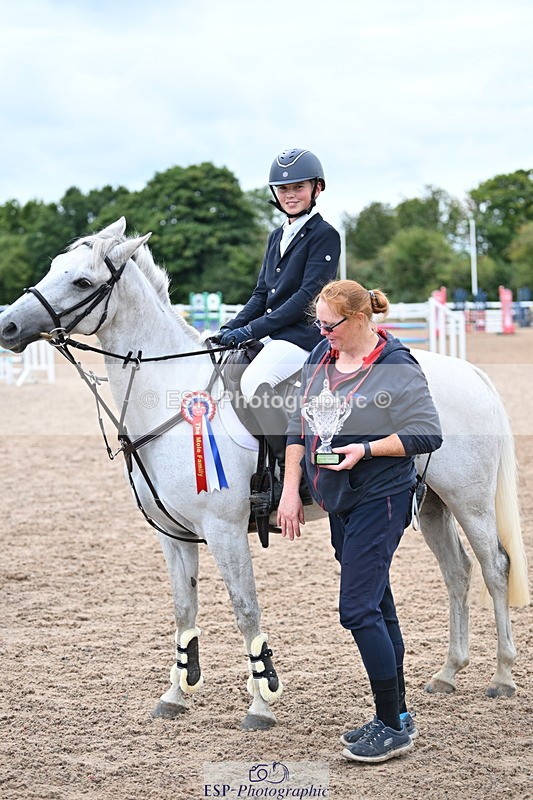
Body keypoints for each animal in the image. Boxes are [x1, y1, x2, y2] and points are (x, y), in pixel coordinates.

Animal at [0, 218, 529, 730]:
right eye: (54, 267)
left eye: (82, 281)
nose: (8, 325)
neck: (173, 393)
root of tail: (471, 373)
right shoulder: (174, 536)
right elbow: (183, 608)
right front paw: (175, 696)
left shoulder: (225, 530)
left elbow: (244, 608)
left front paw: (261, 702)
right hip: (434, 502)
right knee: (458, 573)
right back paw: (448, 673)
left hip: (470, 500)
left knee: (494, 567)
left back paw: (502, 676)